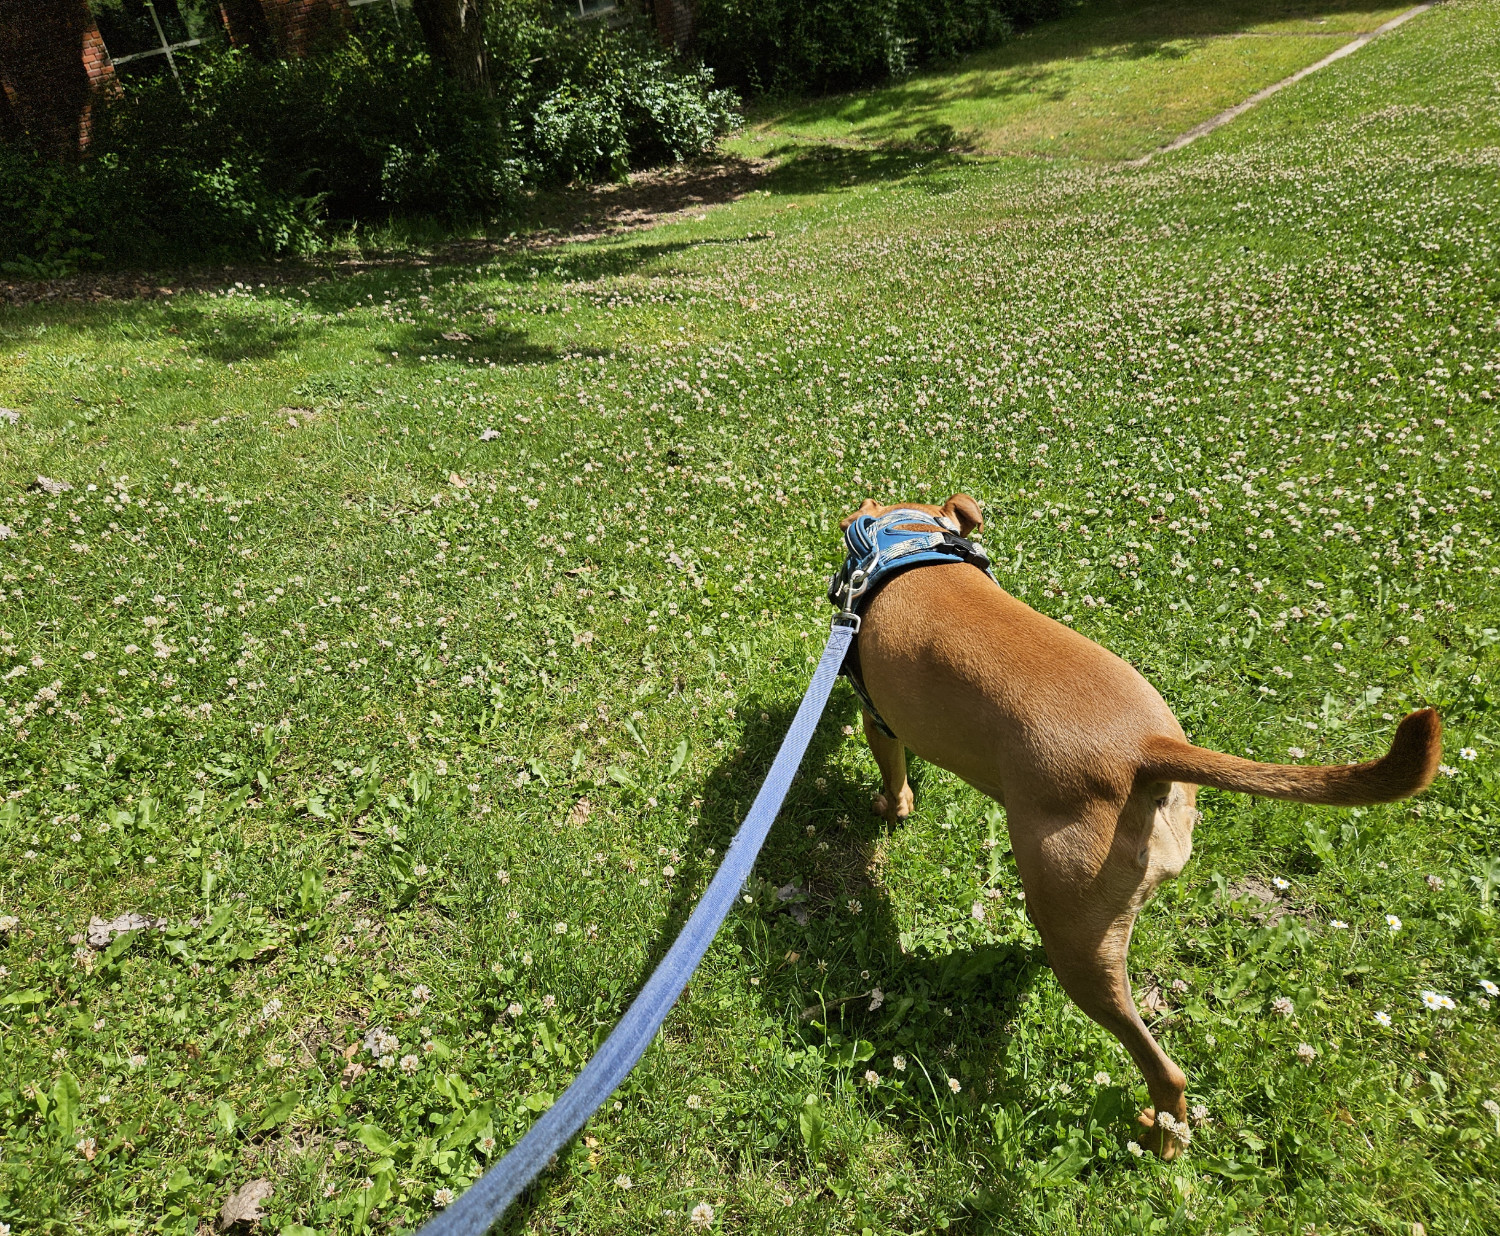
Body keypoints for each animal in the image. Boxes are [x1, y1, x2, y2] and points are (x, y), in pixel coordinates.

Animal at [846, 492, 1440, 1158]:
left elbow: (893, 776)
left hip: (1080, 946)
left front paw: (889, 809)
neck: (910, 538)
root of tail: (1144, 749)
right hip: (1090, 914)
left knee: (1164, 1068)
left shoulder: (877, 721)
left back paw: (1162, 1138)